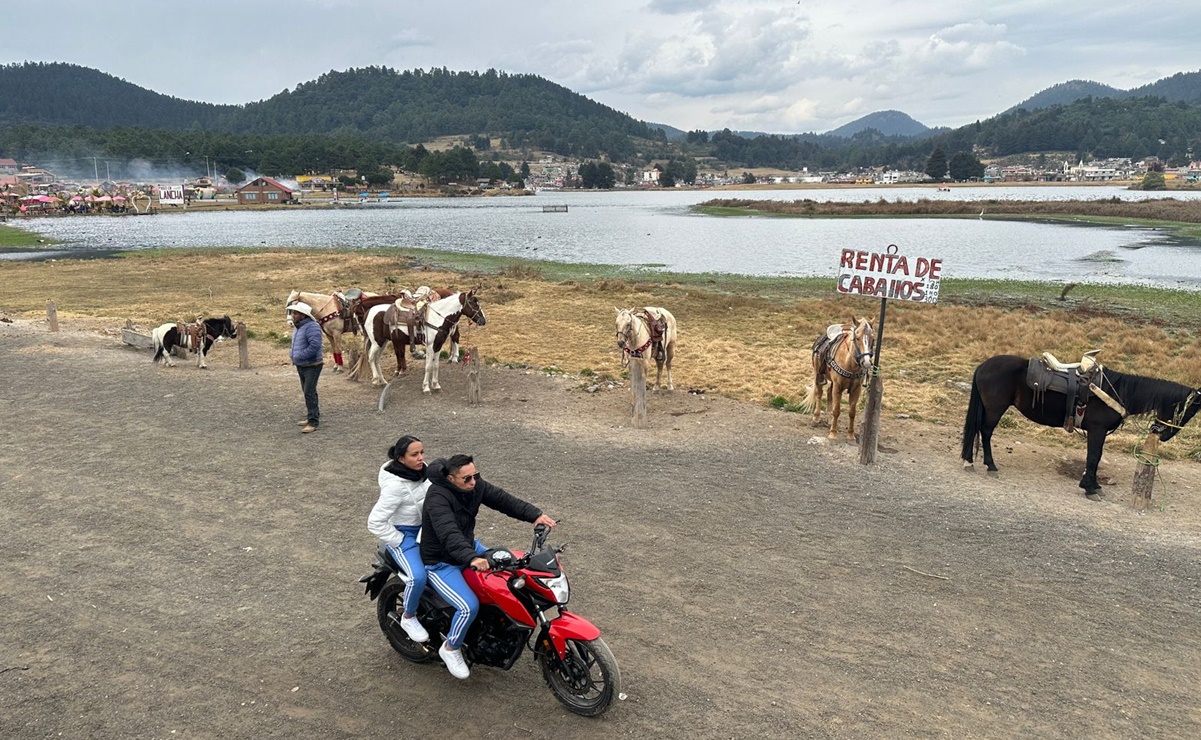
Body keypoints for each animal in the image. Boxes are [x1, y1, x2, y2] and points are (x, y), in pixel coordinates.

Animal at [960, 353, 1201, 497]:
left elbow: (1094, 458)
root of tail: (983, 366)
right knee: (985, 432)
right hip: (994, 410)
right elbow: (1094, 457)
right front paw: (1089, 487)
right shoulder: (1097, 430)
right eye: (1191, 409)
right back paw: (988, 465)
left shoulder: (1098, 432)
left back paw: (970, 461)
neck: (1118, 391)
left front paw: (1093, 484)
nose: (1165, 435)